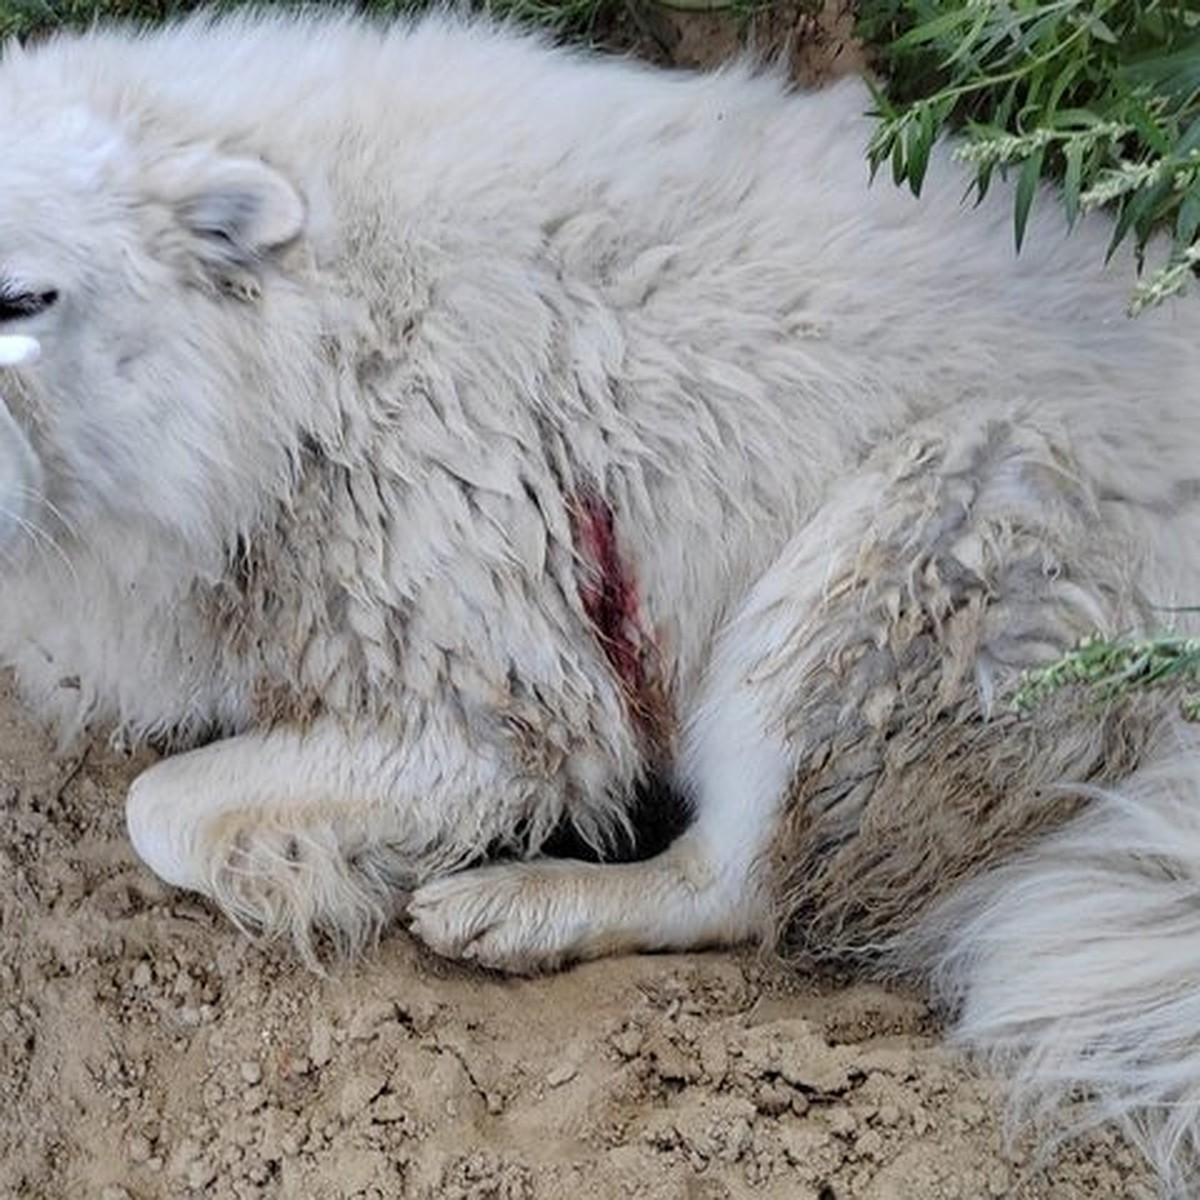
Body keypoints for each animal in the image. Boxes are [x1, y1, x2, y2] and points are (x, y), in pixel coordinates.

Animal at [2, 9, 1200, 1190]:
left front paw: (345, 876)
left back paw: (519, 907)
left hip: (902, 545)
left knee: (740, 883)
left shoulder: (499, 712)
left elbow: (157, 810)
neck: (317, 335)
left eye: (23, 299)